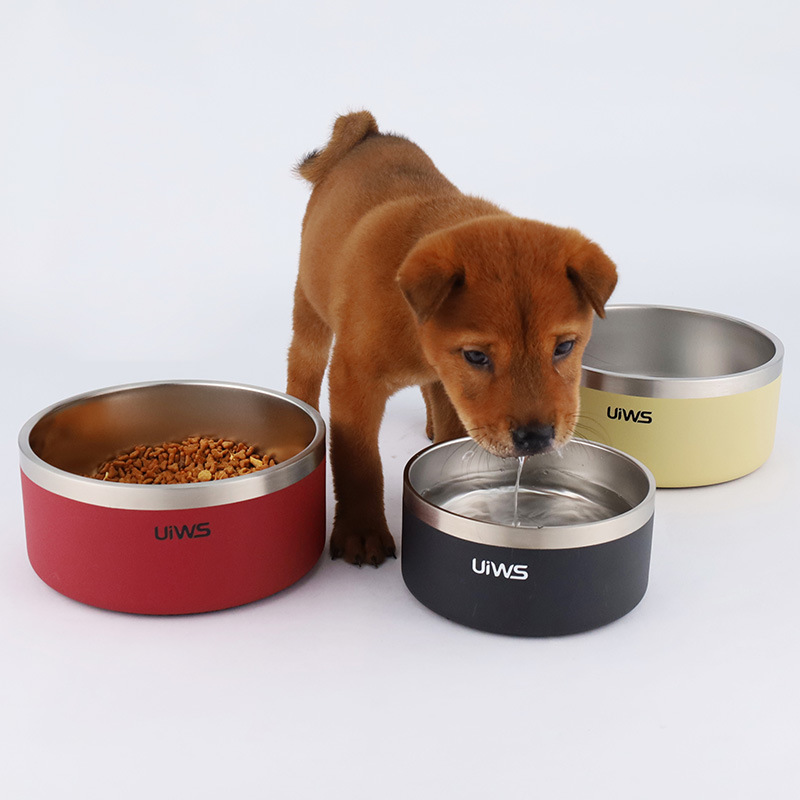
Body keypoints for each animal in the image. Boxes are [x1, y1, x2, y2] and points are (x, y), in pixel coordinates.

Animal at [287, 111, 617, 566]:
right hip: (310, 308)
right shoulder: (355, 382)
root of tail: (369, 132)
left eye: (564, 347)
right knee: (302, 364)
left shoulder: (448, 388)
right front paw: (361, 531)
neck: (414, 328)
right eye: (477, 356)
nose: (535, 438)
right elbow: (359, 463)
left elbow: (447, 432)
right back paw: (302, 406)